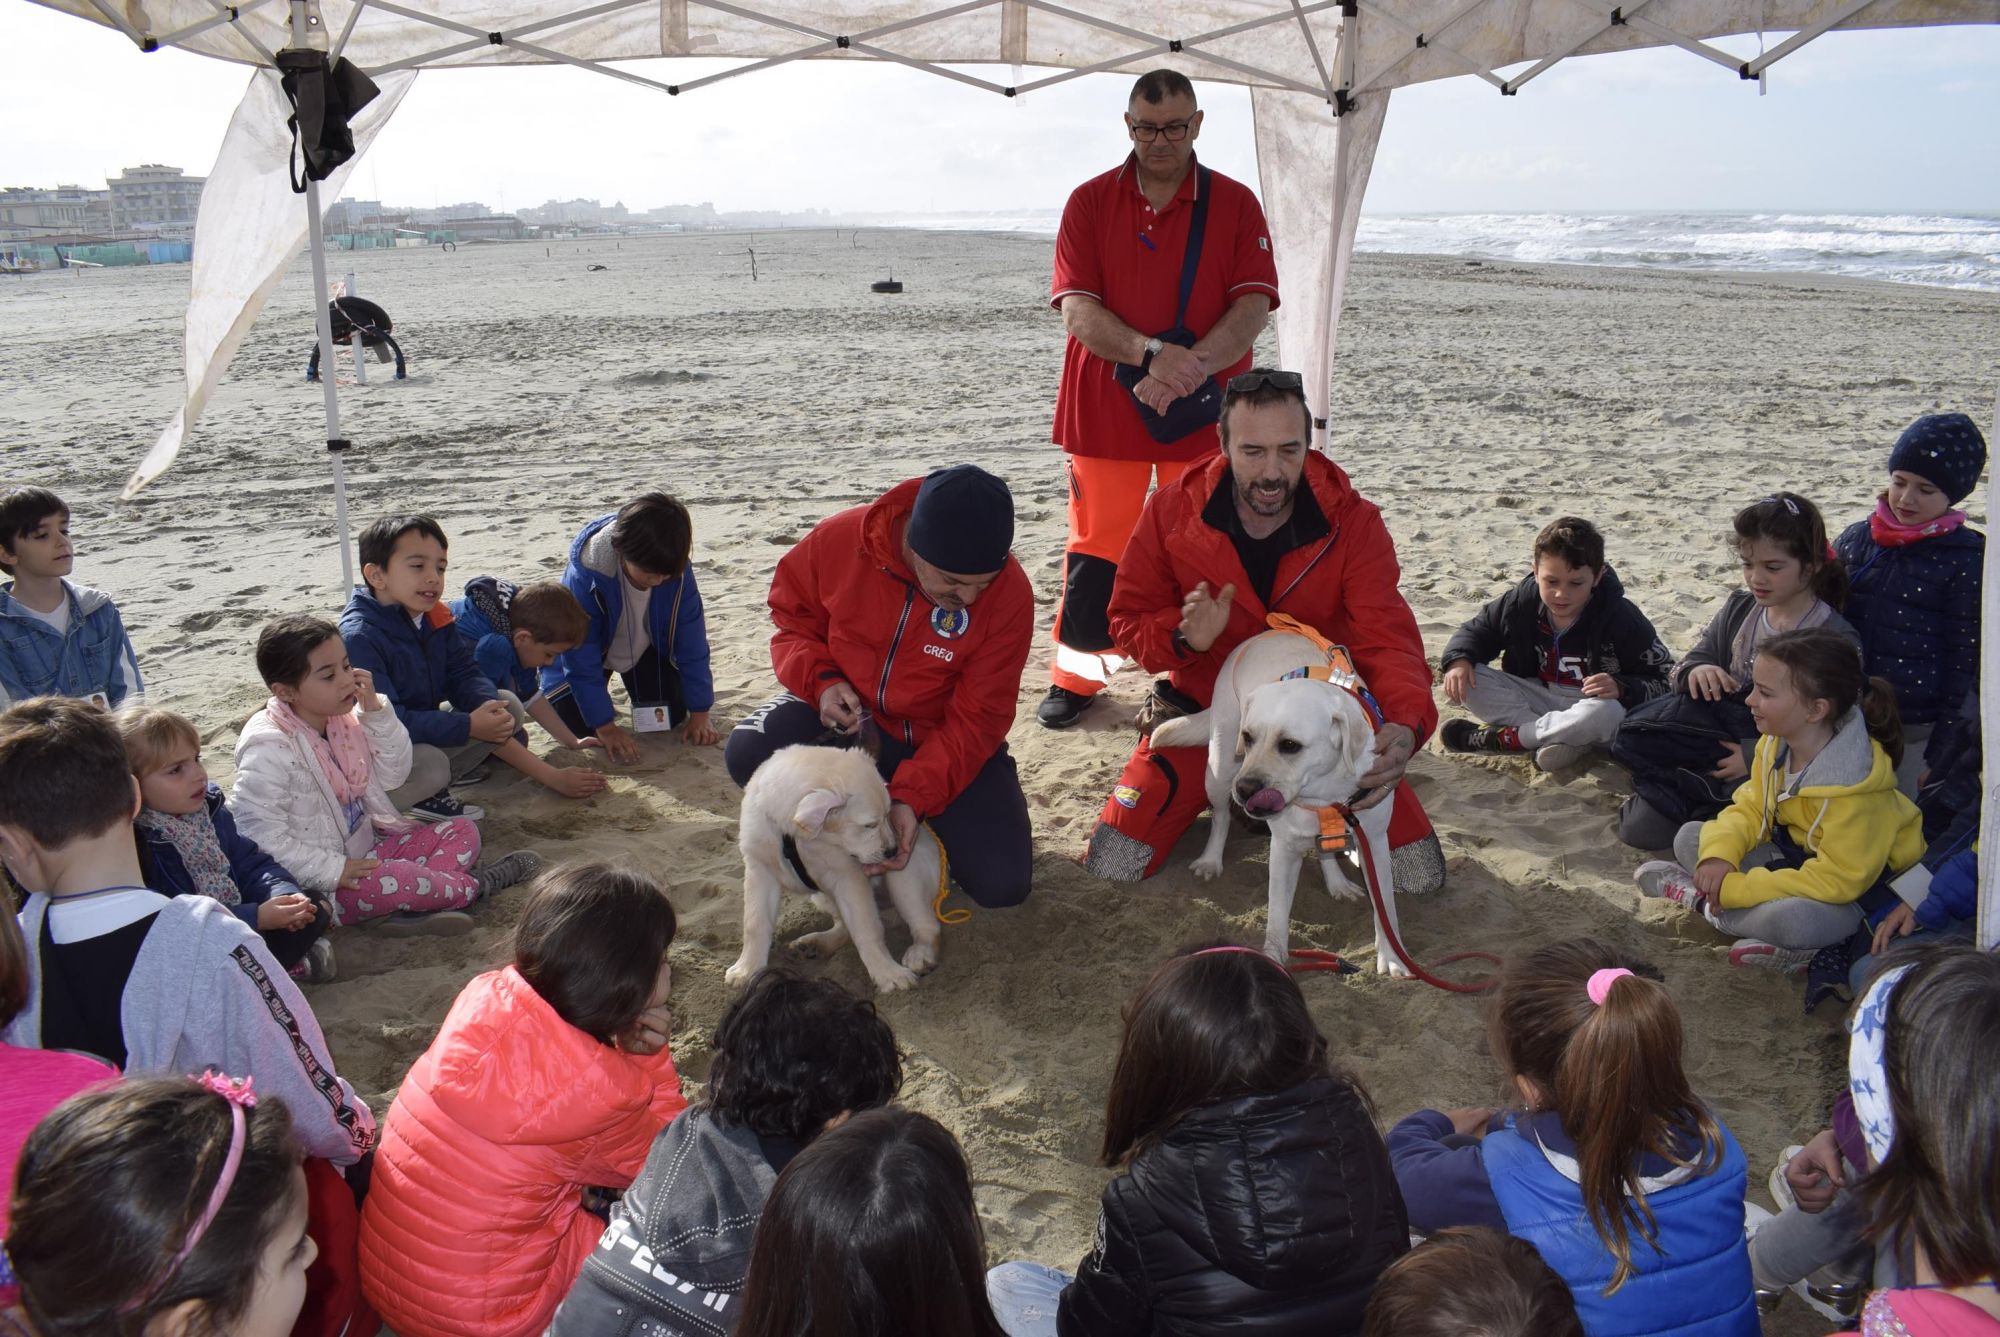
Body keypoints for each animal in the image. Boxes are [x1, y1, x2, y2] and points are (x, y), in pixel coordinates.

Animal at [728, 740, 944, 992]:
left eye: (888, 815)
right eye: (870, 825)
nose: (893, 850)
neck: (794, 836)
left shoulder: (847, 875)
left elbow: (867, 929)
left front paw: (889, 974)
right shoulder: (759, 868)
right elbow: (754, 923)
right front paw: (747, 969)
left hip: (905, 878)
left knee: (927, 924)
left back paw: (921, 953)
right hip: (822, 896)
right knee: (844, 926)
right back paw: (816, 944)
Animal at [1152, 632, 1416, 976]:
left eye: (1290, 745)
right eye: (1249, 737)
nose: (1245, 789)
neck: (1322, 794)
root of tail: (1261, 635)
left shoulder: (1373, 842)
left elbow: (1386, 908)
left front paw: (1393, 958)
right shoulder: (1283, 849)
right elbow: (1277, 916)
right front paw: (1273, 960)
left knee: (1324, 850)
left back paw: (1338, 884)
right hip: (1219, 766)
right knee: (1221, 817)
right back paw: (1210, 860)